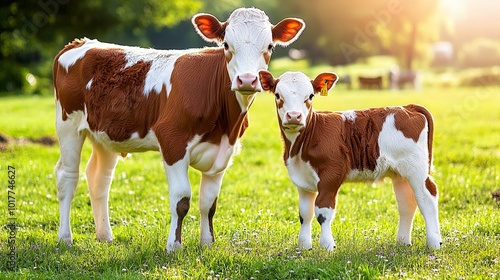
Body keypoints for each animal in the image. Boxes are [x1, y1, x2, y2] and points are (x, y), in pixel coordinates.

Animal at [53, 8, 304, 252]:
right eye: (226, 45)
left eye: (269, 46)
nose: (247, 80)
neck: (224, 125)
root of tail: (79, 42)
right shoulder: (172, 141)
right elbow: (181, 200)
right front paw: (174, 246)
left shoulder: (224, 152)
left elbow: (209, 203)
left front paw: (208, 243)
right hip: (68, 125)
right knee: (68, 177)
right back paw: (65, 238)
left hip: (106, 135)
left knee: (99, 179)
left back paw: (105, 236)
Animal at [258, 71, 442, 250]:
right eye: (277, 95)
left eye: (310, 96)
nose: (294, 116)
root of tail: (406, 107)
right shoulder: (302, 180)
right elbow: (305, 213)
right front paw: (304, 246)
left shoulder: (331, 174)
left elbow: (322, 211)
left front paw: (327, 246)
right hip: (399, 173)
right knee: (407, 203)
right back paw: (403, 242)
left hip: (417, 169)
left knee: (427, 197)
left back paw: (434, 243)